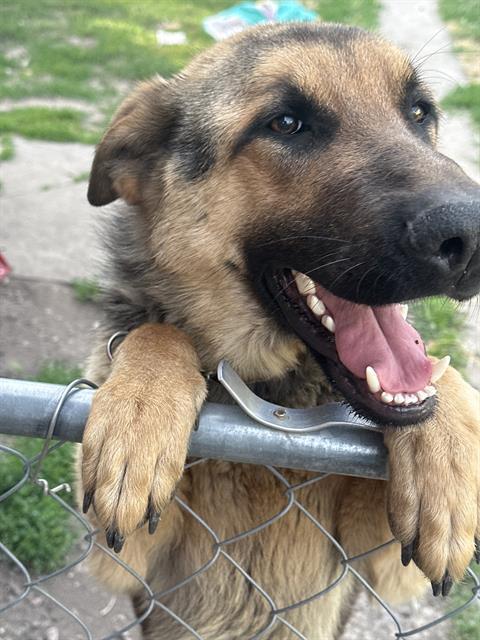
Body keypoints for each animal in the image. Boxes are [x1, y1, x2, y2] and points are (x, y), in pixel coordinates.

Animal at [79, 22, 480, 640]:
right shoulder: (124, 554)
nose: (473, 236)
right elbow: (160, 332)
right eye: (286, 123)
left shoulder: (382, 564)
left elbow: (441, 378)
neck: (271, 393)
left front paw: (451, 464)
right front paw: (139, 411)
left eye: (419, 112)